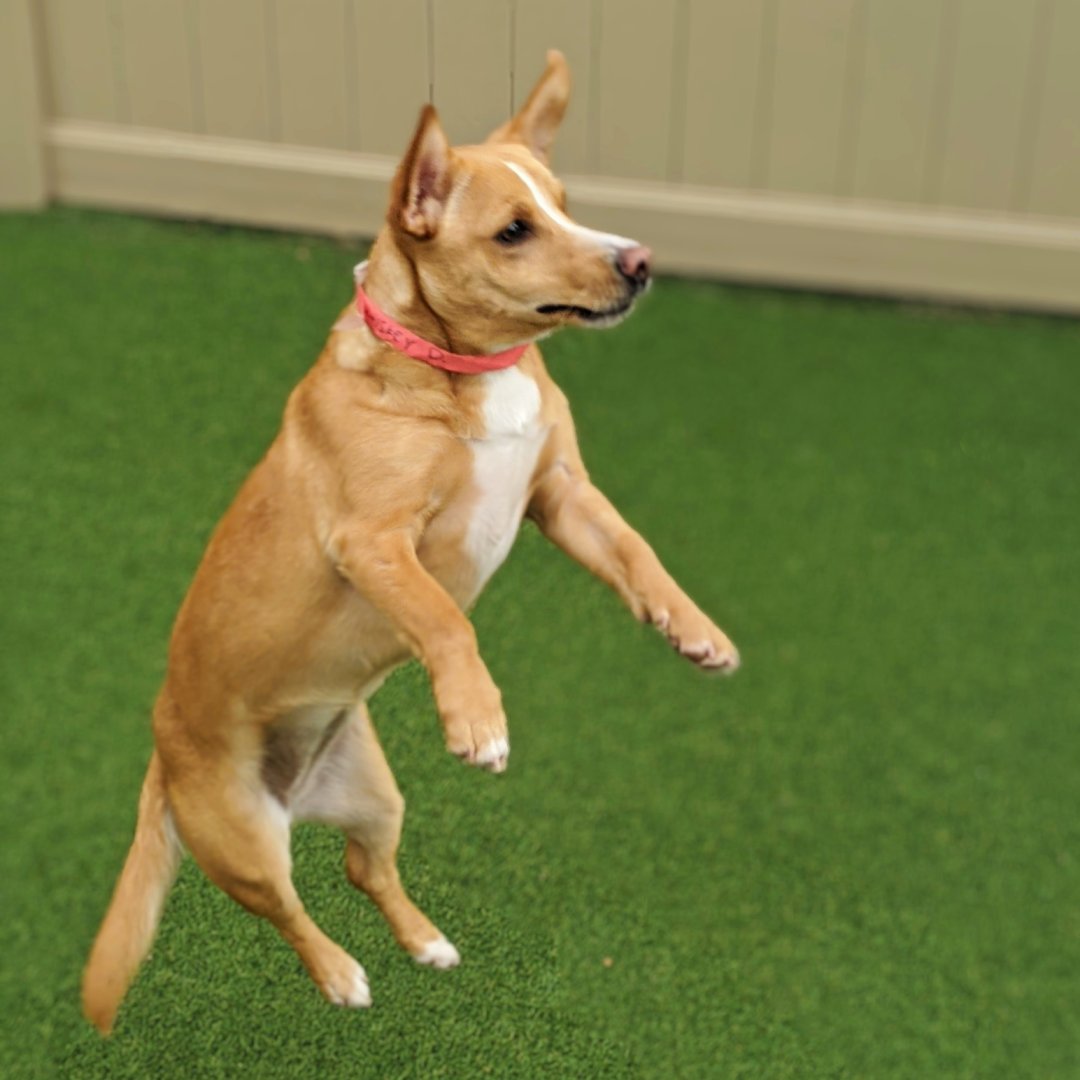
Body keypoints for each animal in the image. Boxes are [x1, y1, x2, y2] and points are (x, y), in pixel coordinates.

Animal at [82, 52, 743, 1036]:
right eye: (513, 230)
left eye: (564, 203)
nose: (639, 261)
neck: (463, 369)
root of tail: (162, 758)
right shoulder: (376, 543)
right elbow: (443, 620)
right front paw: (477, 717)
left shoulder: (562, 496)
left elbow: (637, 556)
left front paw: (694, 630)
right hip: (244, 844)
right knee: (291, 910)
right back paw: (339, 975)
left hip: (374, 793)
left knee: (364, 869)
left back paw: (425, 941)